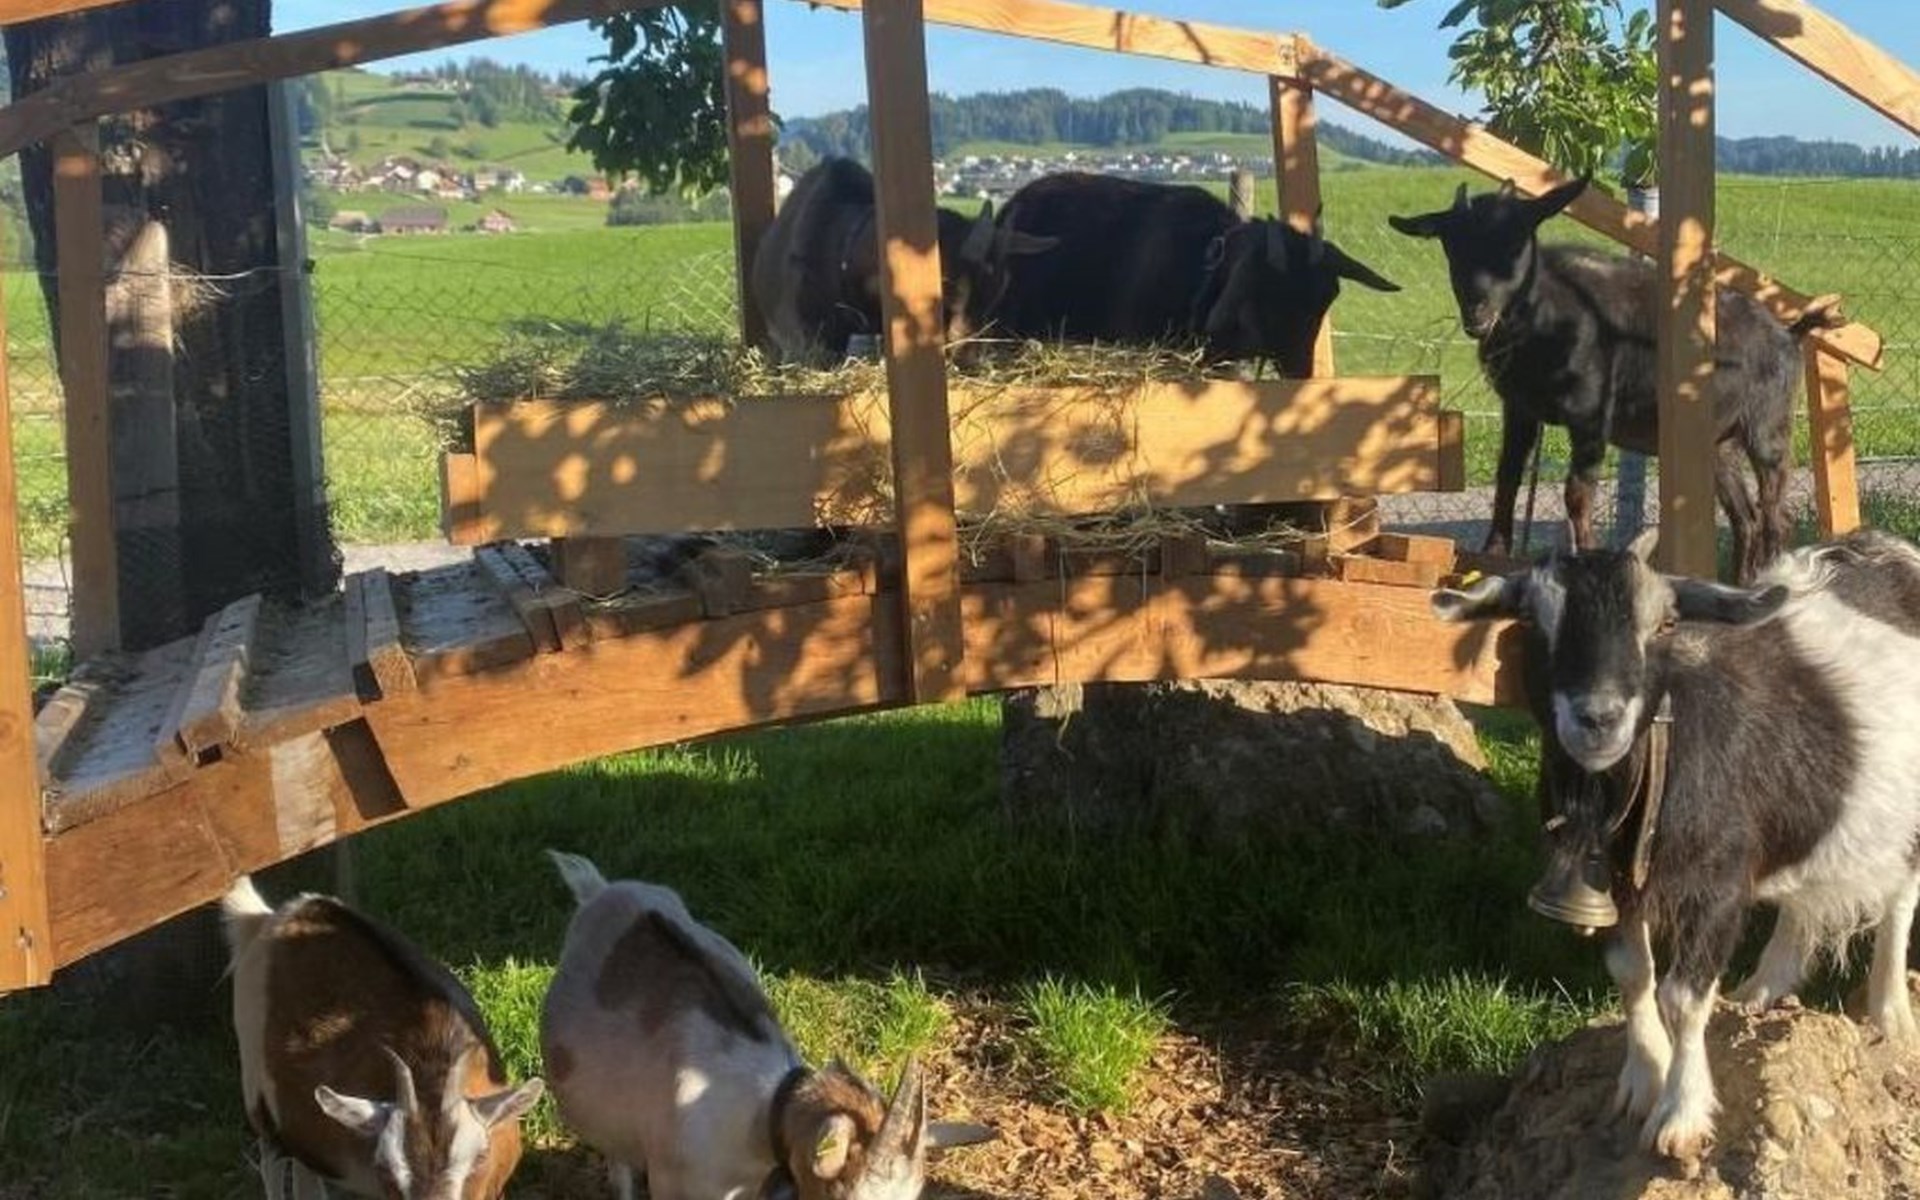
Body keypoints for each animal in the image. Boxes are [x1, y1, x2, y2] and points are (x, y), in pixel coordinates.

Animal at [222, 878, 544, 1200]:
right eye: (386, 1171)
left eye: (480, 1158)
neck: (432, 1066)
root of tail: (279, 915)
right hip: (258, 1092)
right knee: (273, 1158)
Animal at [1391, 178, 1843, 581]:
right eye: (1452, 244)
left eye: (1517, 242)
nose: (1477, 314)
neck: (1545, 315)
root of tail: (1789, 333)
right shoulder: (1519, 409)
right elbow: (1508, 478)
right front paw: (1493, 552)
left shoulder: (1592, 414)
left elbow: (1577, 492)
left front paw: (1588, 558)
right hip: (1719, 443)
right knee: (1745, 517)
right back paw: (1740, 583)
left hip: (1767, 428)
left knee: (1775, 516)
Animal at [1432, 527, 1920, 1161]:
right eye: (1534, 620)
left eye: (1663, 623)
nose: (1598, 718)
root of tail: (1887, 548)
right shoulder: (1612, 885)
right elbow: (1632, 973)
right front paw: (1642, 1080)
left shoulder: (1719, 889)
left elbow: (1682, 997)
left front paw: (1680, 1116)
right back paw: (1761, 989)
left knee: (1901, 899)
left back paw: (1890, 1014)